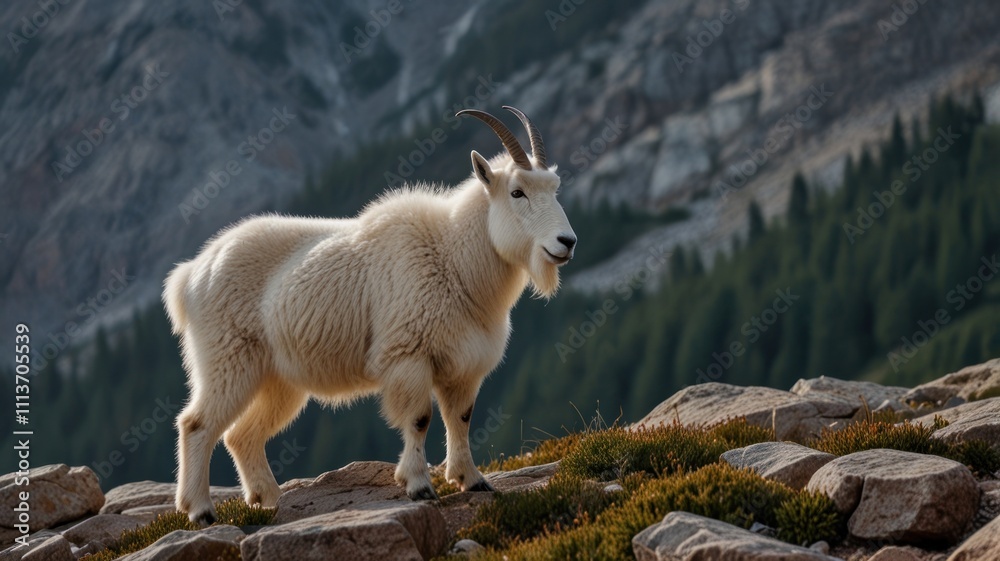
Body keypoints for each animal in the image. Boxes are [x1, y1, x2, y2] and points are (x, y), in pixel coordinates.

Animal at [163, 106, 577, 524]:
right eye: (517, 191)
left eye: (554, 188)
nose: (567, 242)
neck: (451, 257)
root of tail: (190, 275)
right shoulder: (408, 356)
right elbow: (419, 418)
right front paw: (419, 486)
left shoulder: (463, 366)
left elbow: (460, 418)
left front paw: (472, 480)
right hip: (226, 359)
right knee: (197, 424)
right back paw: (200, 511)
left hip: (276, 378)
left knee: (241, 434)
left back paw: (267, 500)